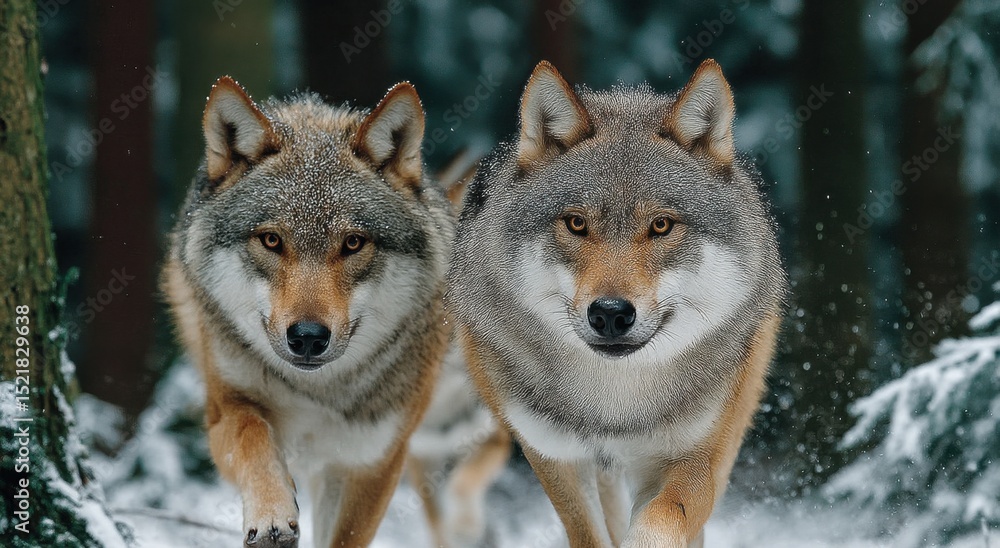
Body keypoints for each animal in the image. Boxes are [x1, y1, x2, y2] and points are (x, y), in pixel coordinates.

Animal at [162, 76, 452, 548]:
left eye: (353, 243)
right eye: (271, 240)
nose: (309, 337)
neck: (317, 392)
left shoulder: (373, 462)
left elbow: (343, 537)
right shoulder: (224, 408)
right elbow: (252, 435)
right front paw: (272, 514)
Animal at [447, 59, 787, 547]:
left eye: (661, 225)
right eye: (576, 223)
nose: (610, 313)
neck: (616, 403)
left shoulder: (696, 459)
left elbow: (664, 518)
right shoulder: (556, 458)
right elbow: (589, 532)